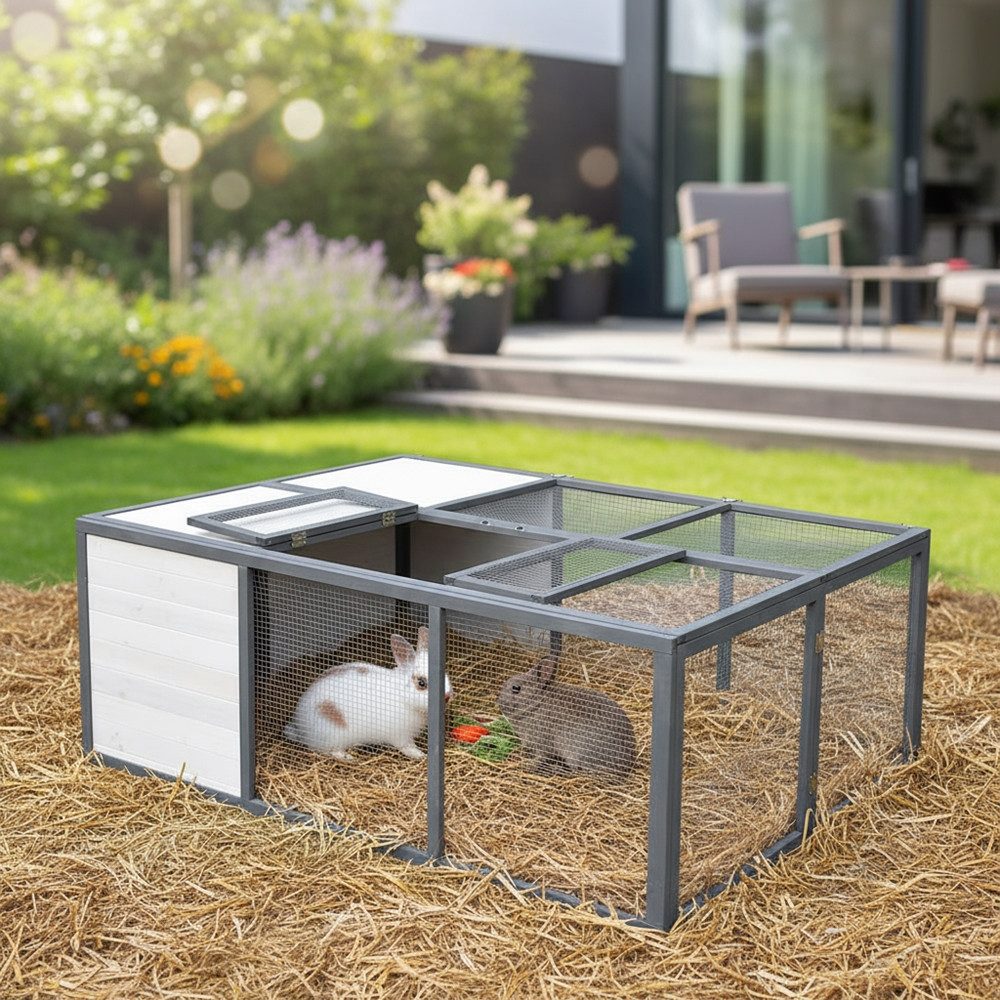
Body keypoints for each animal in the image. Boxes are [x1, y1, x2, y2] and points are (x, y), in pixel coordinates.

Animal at [283, 626, 452, 762]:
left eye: (445, 674)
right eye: (421, 683)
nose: (447, 696)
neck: (404, 697)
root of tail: (301, 729)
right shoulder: (401, 735)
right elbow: (408, 747)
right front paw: (420, 755)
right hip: (333, 734)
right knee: (332, 751)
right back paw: (349, 758)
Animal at [498, 655, 637, 780]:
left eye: (516, 688)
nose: (498, 702)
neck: (536, 704)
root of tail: (625, 766)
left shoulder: (542, 741)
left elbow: (541, 757)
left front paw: (529, 765)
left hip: (576, 752)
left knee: (576, 771)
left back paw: (556, 769)